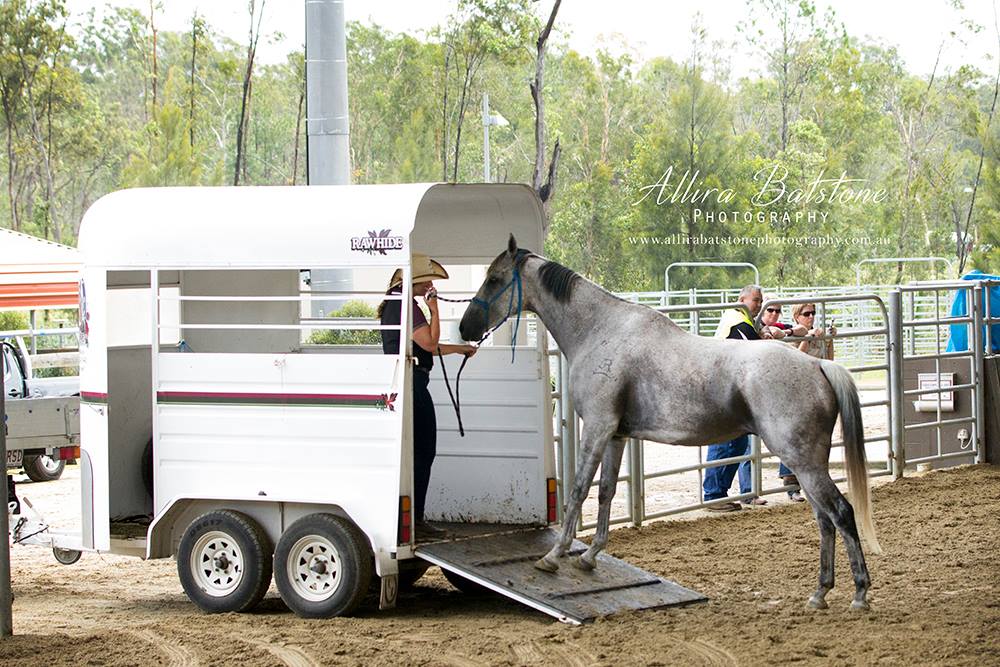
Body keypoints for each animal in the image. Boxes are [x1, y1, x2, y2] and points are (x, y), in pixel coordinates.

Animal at [460, 235, 884, 612]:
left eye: (494, 279)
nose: (465, 328)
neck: (600, 331)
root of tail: (817, 365)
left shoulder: (596, 428)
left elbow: (579, 490)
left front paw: (554, 555)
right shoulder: (615, 435)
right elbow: (607, 492)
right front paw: (590, 556)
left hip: (804, 462)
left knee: (841, 513)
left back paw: (859, 594)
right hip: (805, 465)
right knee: (824, 520)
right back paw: (820, 593)